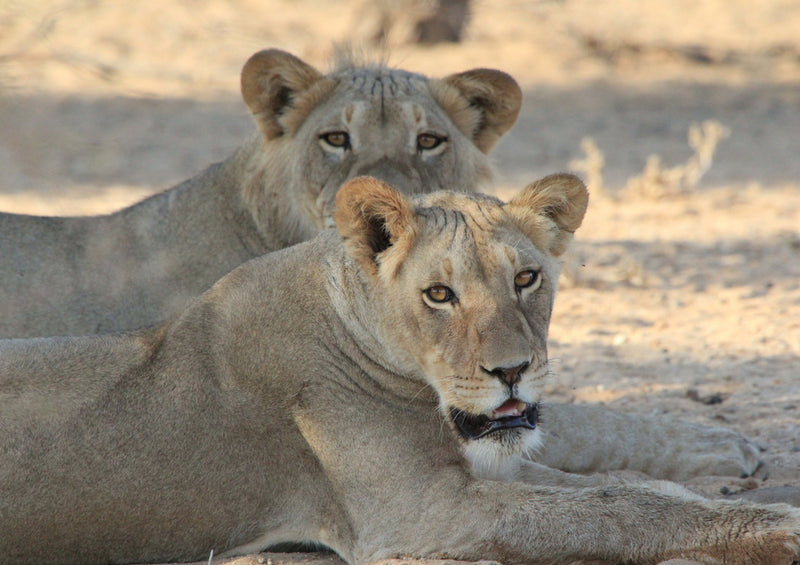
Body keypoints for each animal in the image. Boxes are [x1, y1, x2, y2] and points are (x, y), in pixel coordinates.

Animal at [3, 173, 796, 564]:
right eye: (439, 294)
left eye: (528, 278)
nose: (513, 371)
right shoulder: (421, 512)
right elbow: (616, 511)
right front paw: (774, 527)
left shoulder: (482, 467)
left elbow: (628, 488)